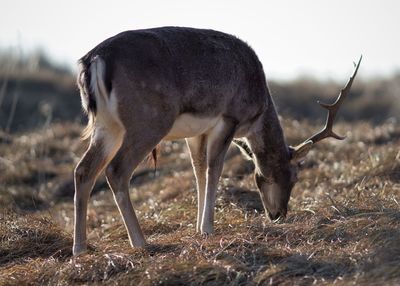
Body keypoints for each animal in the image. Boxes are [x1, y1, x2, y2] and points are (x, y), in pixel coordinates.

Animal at [72, 26, 362, 255]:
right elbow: (214, 169)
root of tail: (93, 61)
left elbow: (199, 171)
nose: (278, 214)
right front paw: (208, 228)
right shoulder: (229, 117)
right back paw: (140, 242)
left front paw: (198, 226)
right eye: (294, 176)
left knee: (83, 169)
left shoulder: (195, 132)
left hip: (106, 125)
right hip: (148, 120)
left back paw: (79, 248)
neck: (257, 109)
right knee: (116, 170)